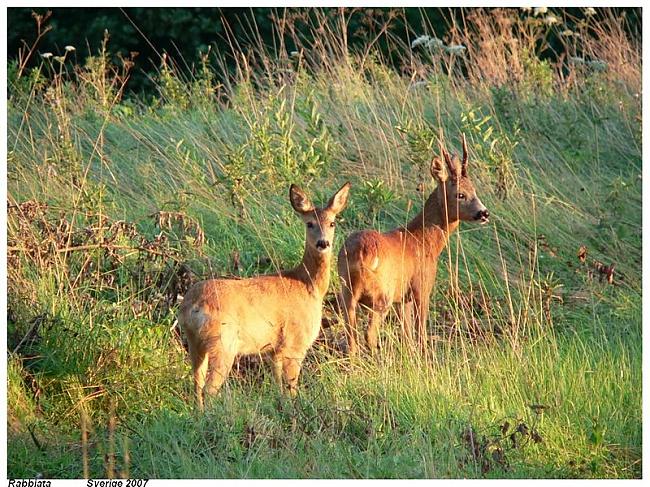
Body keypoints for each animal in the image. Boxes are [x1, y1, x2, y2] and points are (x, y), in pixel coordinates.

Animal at [177, 181, 350, 410]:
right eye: (310, 223)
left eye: (332, 223)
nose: (323, 243)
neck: (308, 285)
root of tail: (192, 306)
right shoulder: (295, 343)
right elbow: (291, 386)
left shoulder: (274, 350)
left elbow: (279, 385)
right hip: (223, 342)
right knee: (209, 388)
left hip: (195, 343)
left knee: (196, 383)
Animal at [336, 134, 488, 354]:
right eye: (460, 194)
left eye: (474, 190)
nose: (484, 213)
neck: (423, 241)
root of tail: (361, 253)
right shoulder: (421, 286)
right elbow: (420, 333)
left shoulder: (403, 299)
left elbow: (407, 334)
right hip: (382, 294)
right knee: (369, 334)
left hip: (347, 291)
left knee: (351, 335)